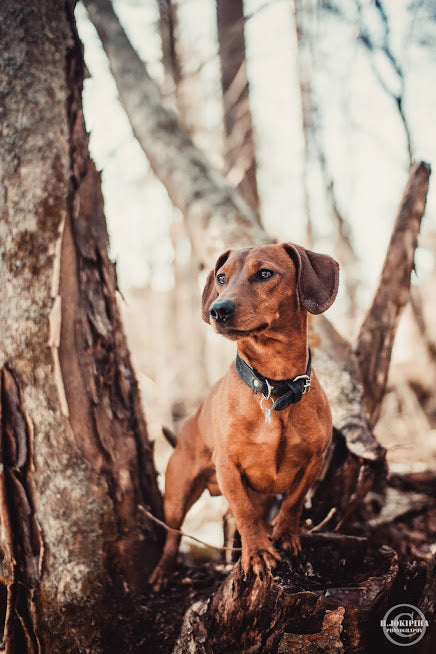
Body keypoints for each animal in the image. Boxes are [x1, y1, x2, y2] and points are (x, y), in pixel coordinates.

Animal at [151, 243, 340, 592]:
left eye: (265, 273)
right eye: (221, 278)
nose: (218, 310)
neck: (275, 387)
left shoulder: (314, 461)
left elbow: (292, 503)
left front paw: (285, 537)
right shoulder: (229, 468)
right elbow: (245, 514)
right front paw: (258, 553)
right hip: (176, 495)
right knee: (174, 534)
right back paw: (164, 571)